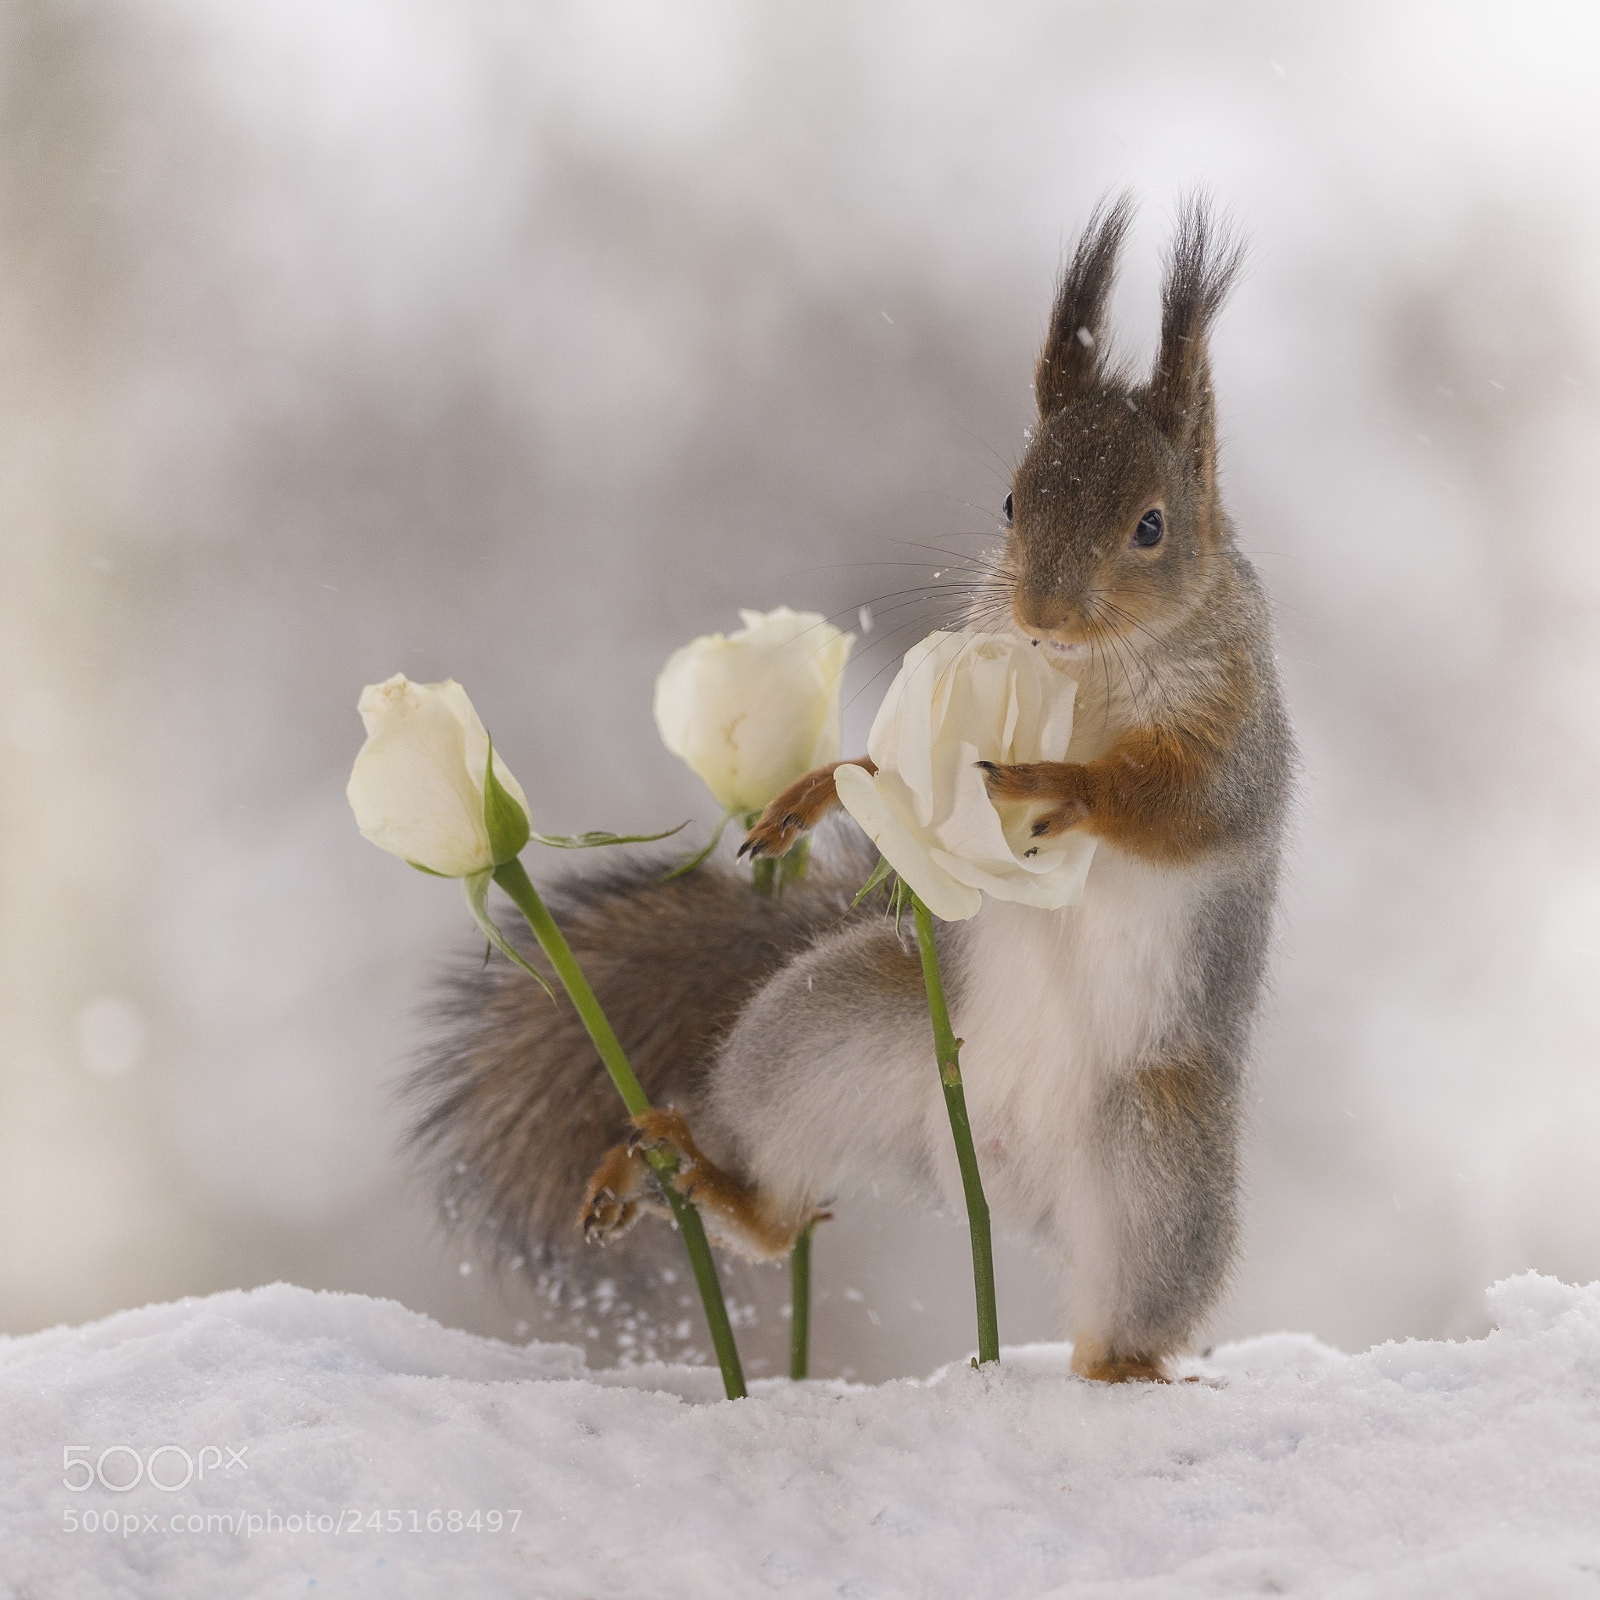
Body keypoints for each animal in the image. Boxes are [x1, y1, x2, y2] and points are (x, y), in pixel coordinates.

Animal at [407, 195, 1293, 1383]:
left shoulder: (1240, 736)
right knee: (784, 1211)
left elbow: (1184, 804)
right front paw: (821, 789)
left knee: (1130, 1318)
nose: (1041, 616)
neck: (1089, 673)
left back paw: (1124, 1367)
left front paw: (1053, 782)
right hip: (825, 1037)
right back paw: (711, 1183)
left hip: (1157, 1164)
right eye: (1008, 502)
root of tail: (1002, 1180)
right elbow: (886, 775)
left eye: (1151, 526)